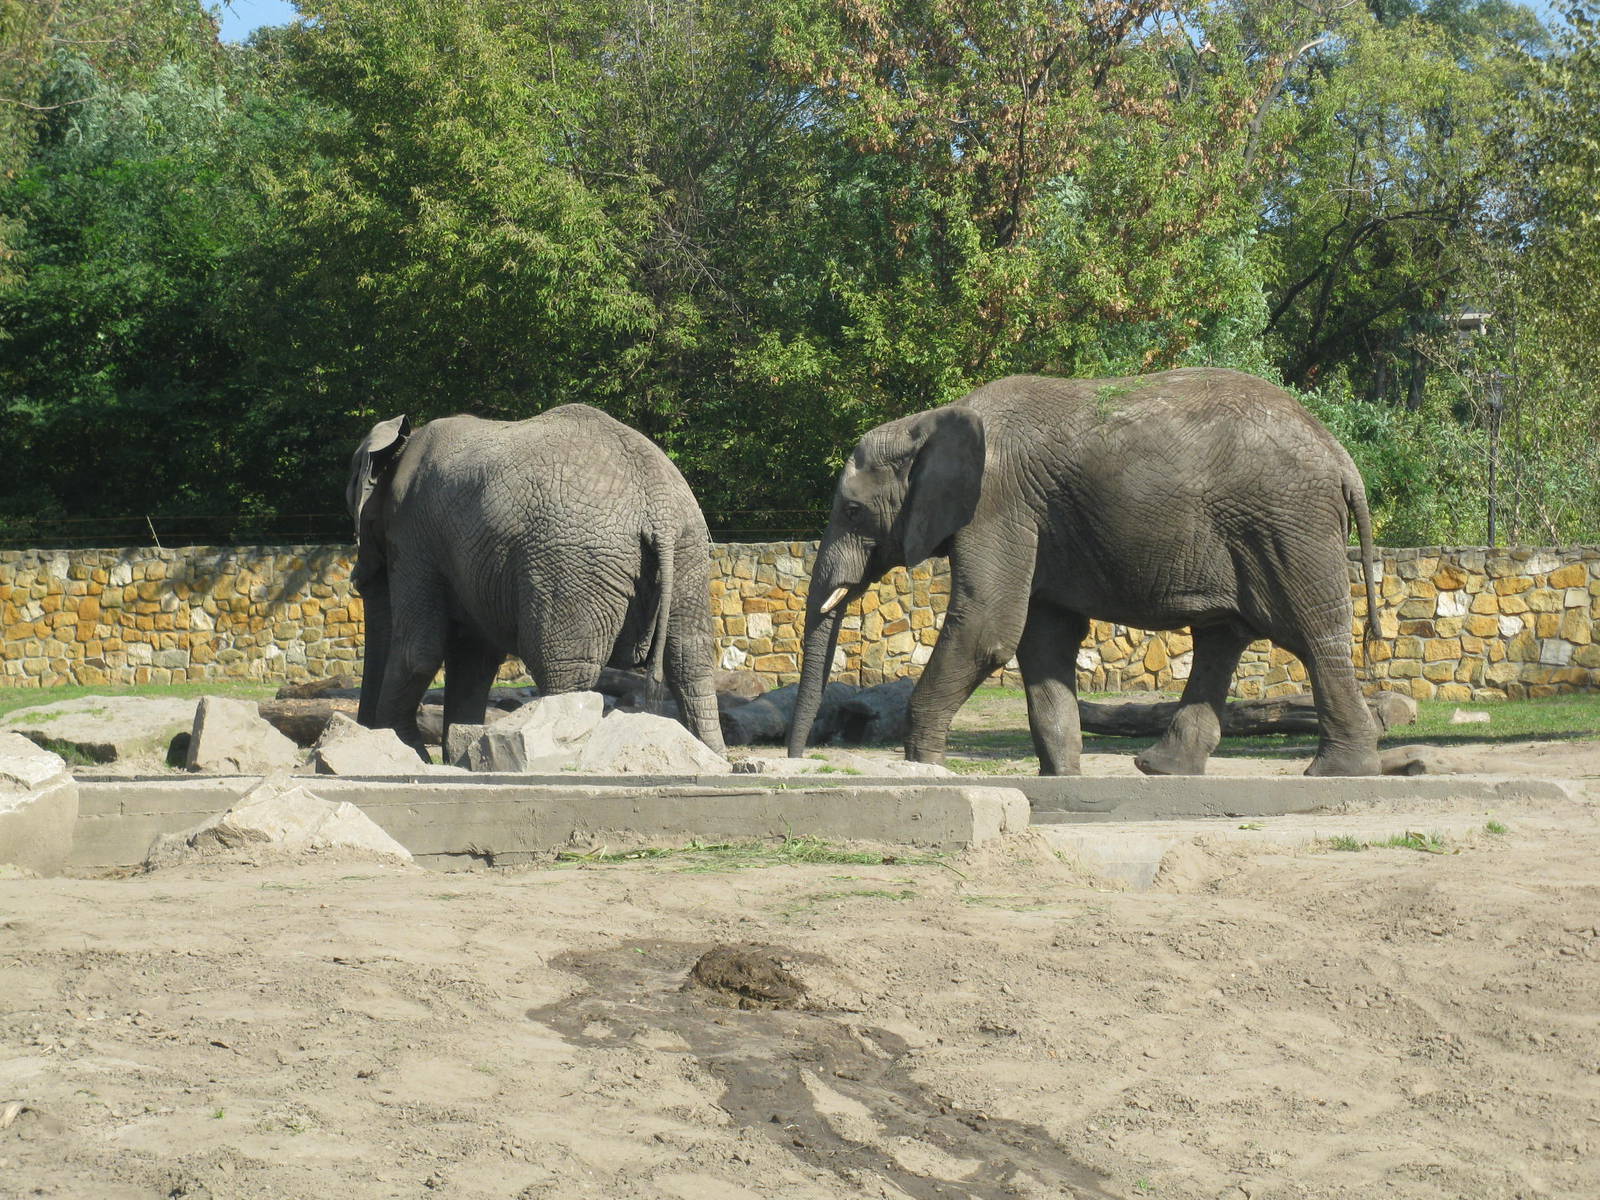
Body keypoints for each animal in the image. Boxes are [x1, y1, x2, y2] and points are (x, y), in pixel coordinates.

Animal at [347, 404, 726, 758]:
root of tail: (659, 505)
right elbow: (473, 658)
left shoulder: (413, 537)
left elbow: (419, 650)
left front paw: (403, 748)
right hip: (688, 553)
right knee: (690, 662)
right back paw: (712, 756)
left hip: (572, 564)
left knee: (563, 668)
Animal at [786, 368, 1381, 777]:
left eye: (853, 511)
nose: (795, 760)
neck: (925, 421)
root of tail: (1341, 455)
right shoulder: (1032, 519)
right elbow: (1043, 637)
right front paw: (1062, 777)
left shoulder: (998, 503)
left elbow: (987, 629)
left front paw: (924, 769)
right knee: (1222, 637)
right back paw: (1161, 769)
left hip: (1286, 524)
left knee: (1311, 634)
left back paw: (1335, 772)